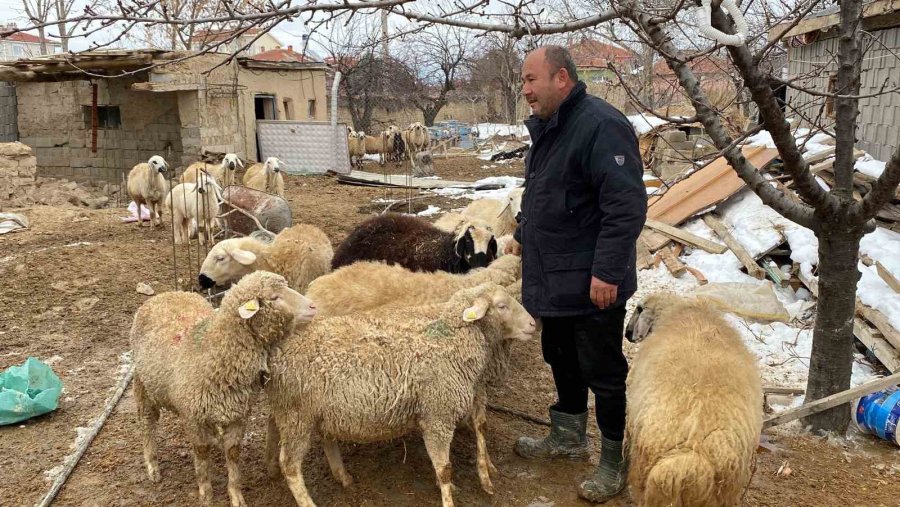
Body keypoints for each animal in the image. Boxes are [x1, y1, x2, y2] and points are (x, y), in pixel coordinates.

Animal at [130, 274, 318, 507]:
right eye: (274, 297)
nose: (313, 306)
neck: (216, 351)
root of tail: (166, 294)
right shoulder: (193, 418)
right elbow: (202, 456)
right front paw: (206, 495)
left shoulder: (238, 415)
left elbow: (233, 453)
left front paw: (236, 495)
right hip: (143, 386)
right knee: (147, 424)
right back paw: (152, 465)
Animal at [266, 284, 536, 506]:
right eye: (502, 306)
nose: (534, 324)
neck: (451, 337)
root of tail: (278, 349)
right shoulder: (438, 416)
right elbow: (445, 468)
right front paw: (453, 491)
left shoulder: (468, 395)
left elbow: (480, 427)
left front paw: (485, 474)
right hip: (296, 416)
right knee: (289, 465)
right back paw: (306, 498)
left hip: (313, 412)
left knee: (319, 438)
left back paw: (342, 477)